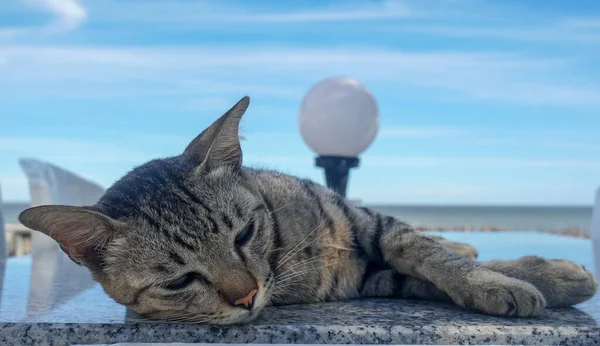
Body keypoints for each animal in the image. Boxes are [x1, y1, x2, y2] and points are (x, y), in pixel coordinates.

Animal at [19, 96, 600, 324]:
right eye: (179, 281)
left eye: (244, 234)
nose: (247, 296)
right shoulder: (366, 280)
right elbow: (420, 275)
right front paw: (535, 280)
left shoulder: (370, 223)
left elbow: (429, 253)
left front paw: (519, 276)